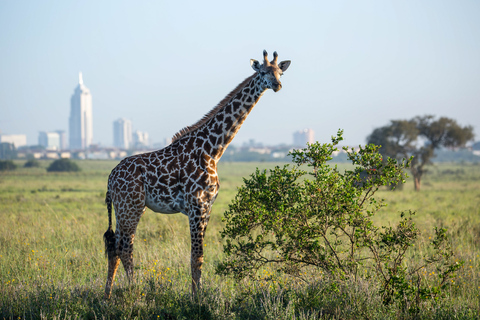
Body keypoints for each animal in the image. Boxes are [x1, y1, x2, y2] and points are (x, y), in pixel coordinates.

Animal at [103, 50, 290, 298]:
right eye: (262, 72)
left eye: (280, 72)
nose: (277, 85)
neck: (213, 149)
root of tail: (110, 178)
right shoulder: (196, 205)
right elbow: (197, 256)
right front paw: (196, 298)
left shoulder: (208, 206)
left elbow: (199, 256)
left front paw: (197, 293)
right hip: (130, 206)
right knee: (125, 247)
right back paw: (134, 291)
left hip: (124, 207)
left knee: (115, 247)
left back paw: (107, 295)